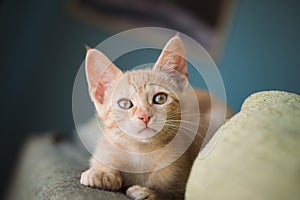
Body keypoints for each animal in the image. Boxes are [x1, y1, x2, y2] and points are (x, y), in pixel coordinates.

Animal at [79, 35, 232, 199]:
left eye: (160, 98)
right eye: (125, 104)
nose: (145, 116)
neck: (141, 152)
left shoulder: (180, 175)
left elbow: (171, 192)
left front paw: (149, 192)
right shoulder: (106, 146)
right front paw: (102, 172)